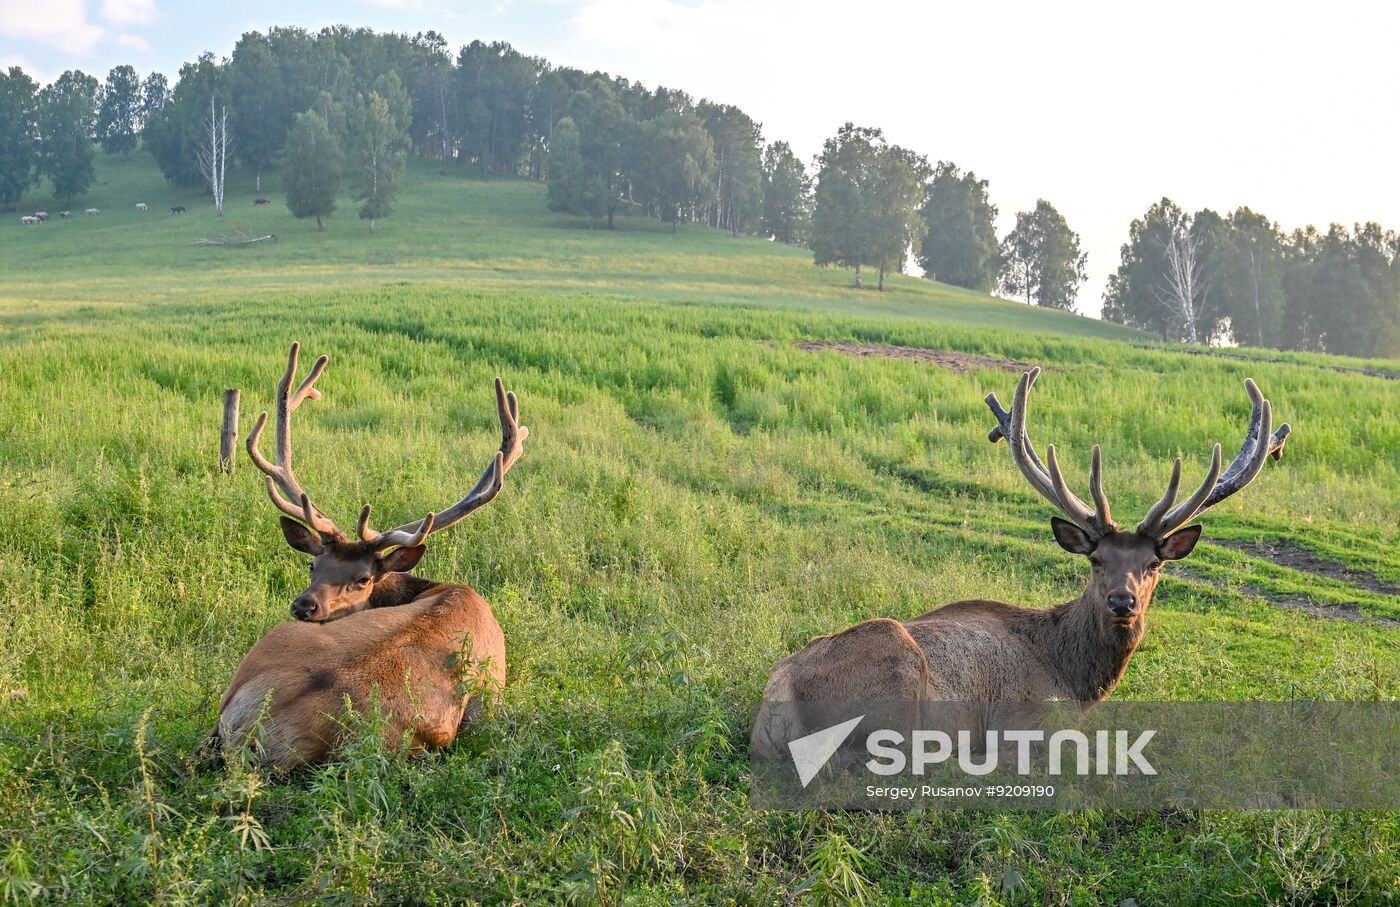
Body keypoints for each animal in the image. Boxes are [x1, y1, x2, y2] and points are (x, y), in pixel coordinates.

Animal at [753, 368, 1290, 756]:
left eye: (1153, 565)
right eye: (1096, 559)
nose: (1123, 602)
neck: (1077, 680)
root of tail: (778, 702)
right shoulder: (1025, 719)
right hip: (897, 682)